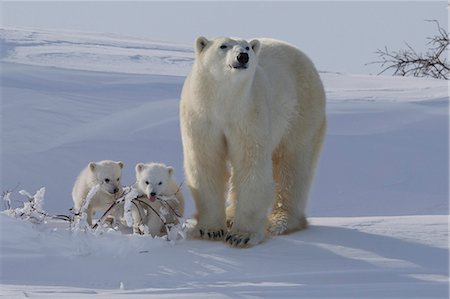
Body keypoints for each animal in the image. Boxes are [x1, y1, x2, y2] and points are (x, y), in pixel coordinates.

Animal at [180, 37, 326, 248]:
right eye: (223, 45)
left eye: (247, 46)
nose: (243, 56)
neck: (224, 103)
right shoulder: (202, 117)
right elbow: (207, 163)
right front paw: (210, 229)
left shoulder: (249, 115)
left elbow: (250, 164)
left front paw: (242, 235)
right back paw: (230, 216)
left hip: (302, 110)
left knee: (294, 164)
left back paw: (281, 220)